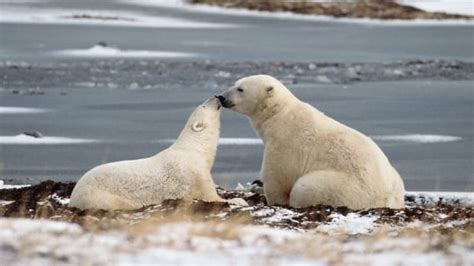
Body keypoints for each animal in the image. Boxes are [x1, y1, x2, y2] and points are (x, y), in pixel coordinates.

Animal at [68, 97, 243, 210]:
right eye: (203, 105)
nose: (217, 96)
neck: (194, 149)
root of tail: (73, 196)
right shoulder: (194, 174)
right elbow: (210, 196)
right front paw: (239, 200)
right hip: (98, 195)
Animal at [217, 74, 406, 209]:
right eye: (236, 84)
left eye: (240, 89)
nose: (221, 97)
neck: (279, 114)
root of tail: (386, 199)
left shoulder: (285, 142)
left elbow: (277, 176)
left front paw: (268, 195)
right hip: (396, 180)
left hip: (346, 188)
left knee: (305, 187)